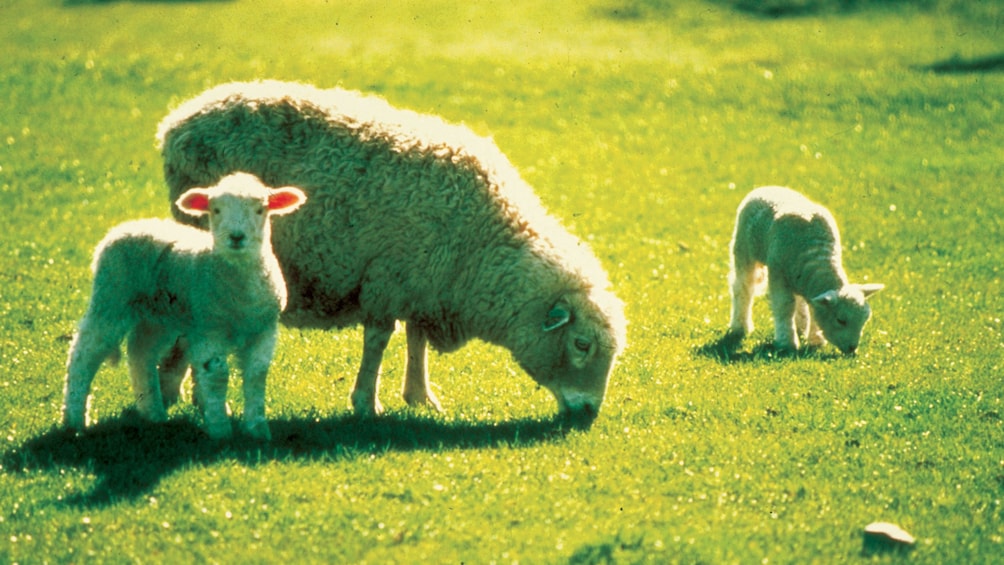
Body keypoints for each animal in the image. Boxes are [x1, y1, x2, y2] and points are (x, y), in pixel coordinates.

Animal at [62, 173, 305, 441]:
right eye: (215, 209)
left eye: (260, 209)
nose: (236, 237)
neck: (240, 295)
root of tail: (126, 226)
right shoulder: (209, 328)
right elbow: (217, 376)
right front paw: (220, 429)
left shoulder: (263, 330)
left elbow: (256, 376)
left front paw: (258, 430)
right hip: (111, 298)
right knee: (84, 353)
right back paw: (74, 421)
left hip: (157, 318)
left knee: (141, 352)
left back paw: (153, 413)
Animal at [154, 79, 626, 419]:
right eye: (582, 344)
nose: (589, 413)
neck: (482, 242)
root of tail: (176, 122)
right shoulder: (388, 276)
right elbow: (380, 340)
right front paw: (367, 402)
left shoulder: (423, 281)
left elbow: (416, 339)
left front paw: (420, 396)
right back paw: (189, 395)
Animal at [726, 185, 883, 353]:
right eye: (841, 320)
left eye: (864, 320)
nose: (852, 349)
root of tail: (767, 187)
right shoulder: (778, 272)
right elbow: (784, 306)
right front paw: (786, 342)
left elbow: (813, 307)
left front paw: (815, 340)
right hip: (743, 247)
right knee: (743, 287)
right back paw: (740, 326)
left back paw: (800, 326)